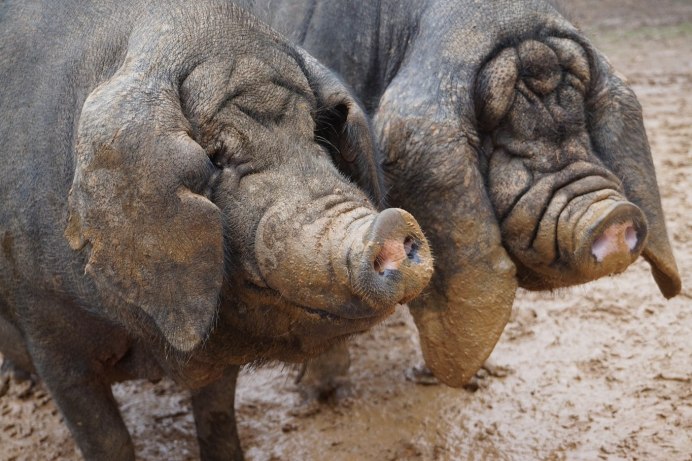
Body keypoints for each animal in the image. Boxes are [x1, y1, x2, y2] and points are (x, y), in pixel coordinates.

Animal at [0, 0, 432, 460]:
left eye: (316, 136)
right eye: (214, 157)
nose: (391, 222)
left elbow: (217, 411)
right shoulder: (44, 320)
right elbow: (103, 435)